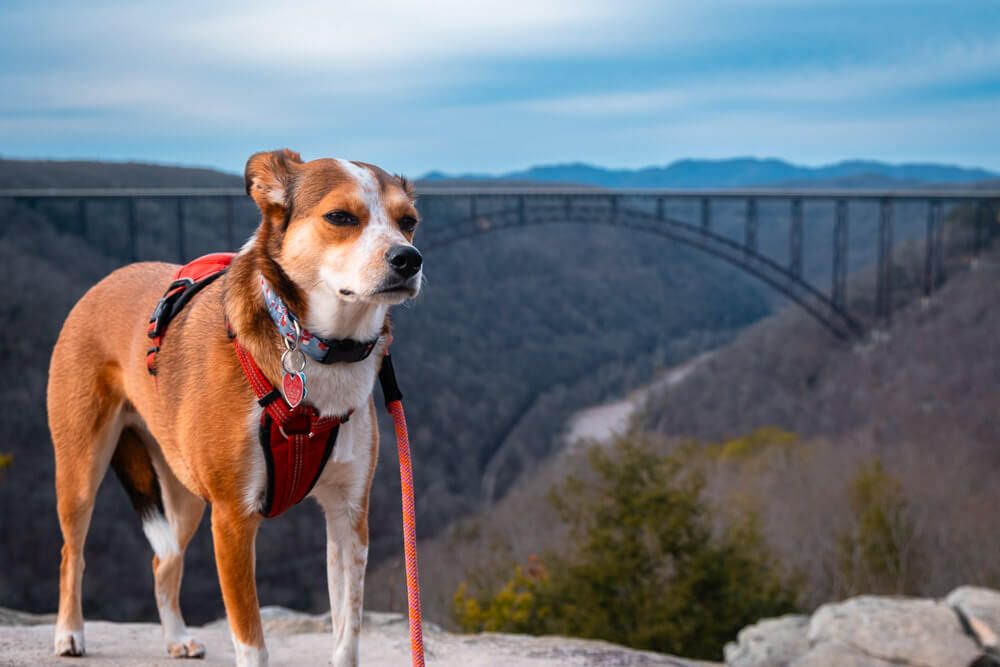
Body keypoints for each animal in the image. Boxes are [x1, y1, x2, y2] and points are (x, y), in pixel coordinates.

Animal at [47, 149, 422, 664]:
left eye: (409, 222)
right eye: (341, 217)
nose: (408, 258)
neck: (316, 346)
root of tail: (105, 281)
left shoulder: (349, 515)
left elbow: (347, 637)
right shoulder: (233, 520)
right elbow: (252, 642)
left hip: (184, 491)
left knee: (164, 560)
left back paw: (176, 637)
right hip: (81, 466)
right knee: (72, 551)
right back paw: (69, 633)